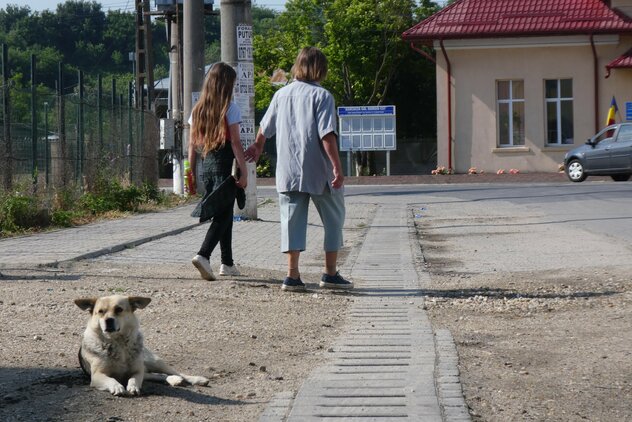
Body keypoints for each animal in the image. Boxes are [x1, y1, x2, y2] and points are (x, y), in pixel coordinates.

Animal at [74, 294, 207, 396]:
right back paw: (174, 380)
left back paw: (197, 379)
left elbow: (134, 379)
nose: (108, 320)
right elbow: (111, 379)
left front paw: (133, 387)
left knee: (176, 373)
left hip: (154, 362)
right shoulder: (97, 376)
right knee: (156, 375)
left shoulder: (137, 371)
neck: (119, 343)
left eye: (119, 309)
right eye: (100, 312)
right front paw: (117, 386)